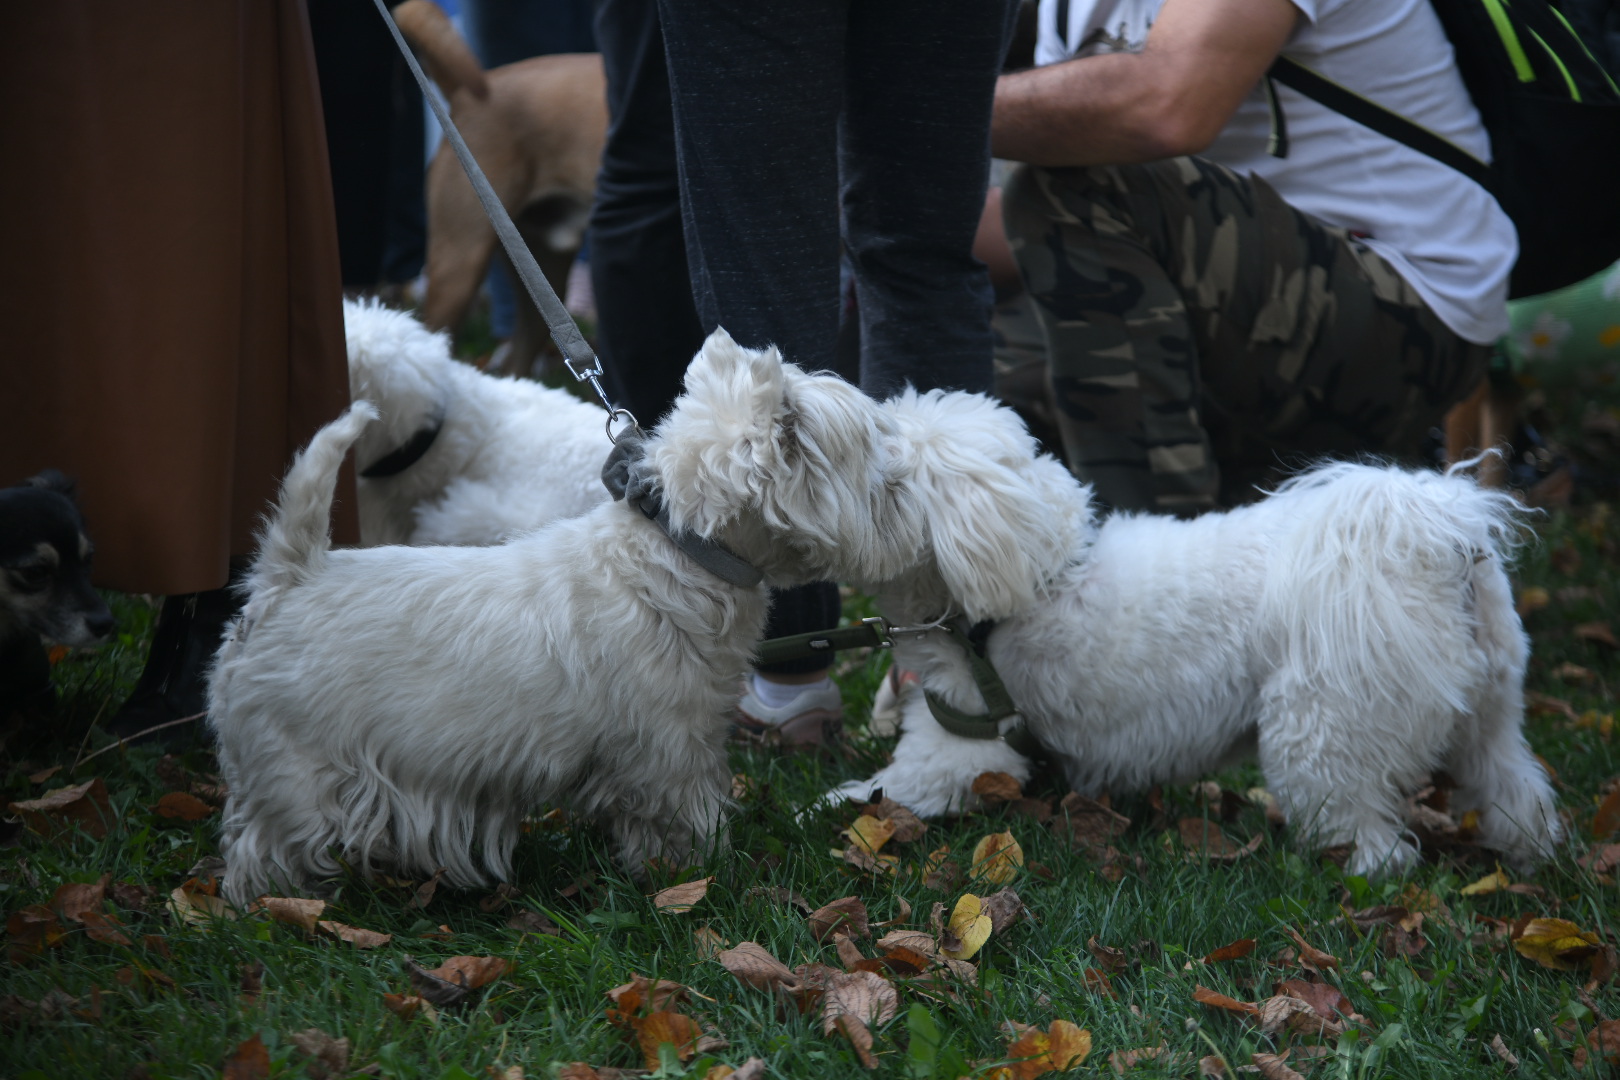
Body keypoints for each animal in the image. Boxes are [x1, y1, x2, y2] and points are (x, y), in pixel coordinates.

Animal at [212, 330, 1075, 906]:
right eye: (884, 476)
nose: (907, 498)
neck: (684, 557)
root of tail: (287, 576)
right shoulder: (670, 741)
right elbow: (682, 816)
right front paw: (701, 868)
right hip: (298, 764)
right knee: (263, 843)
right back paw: (275, 909)